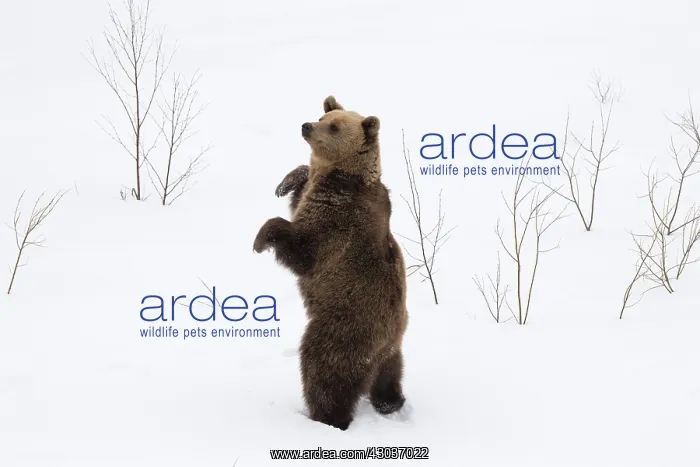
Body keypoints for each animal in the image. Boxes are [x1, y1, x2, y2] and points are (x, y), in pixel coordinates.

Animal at [253, 96, 408, 431]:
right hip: (392, 346)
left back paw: (325, 418)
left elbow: (305, 249)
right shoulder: (319, 192)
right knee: (391, 373)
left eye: (335, 127)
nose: (306, 126)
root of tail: (386, 340)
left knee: (324, 371)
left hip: (343, 328)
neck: (340, 174)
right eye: (324, 116)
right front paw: (286, 182)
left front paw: (261, 239)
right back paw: (390, 401)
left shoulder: (338, 218)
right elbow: (299, 194)